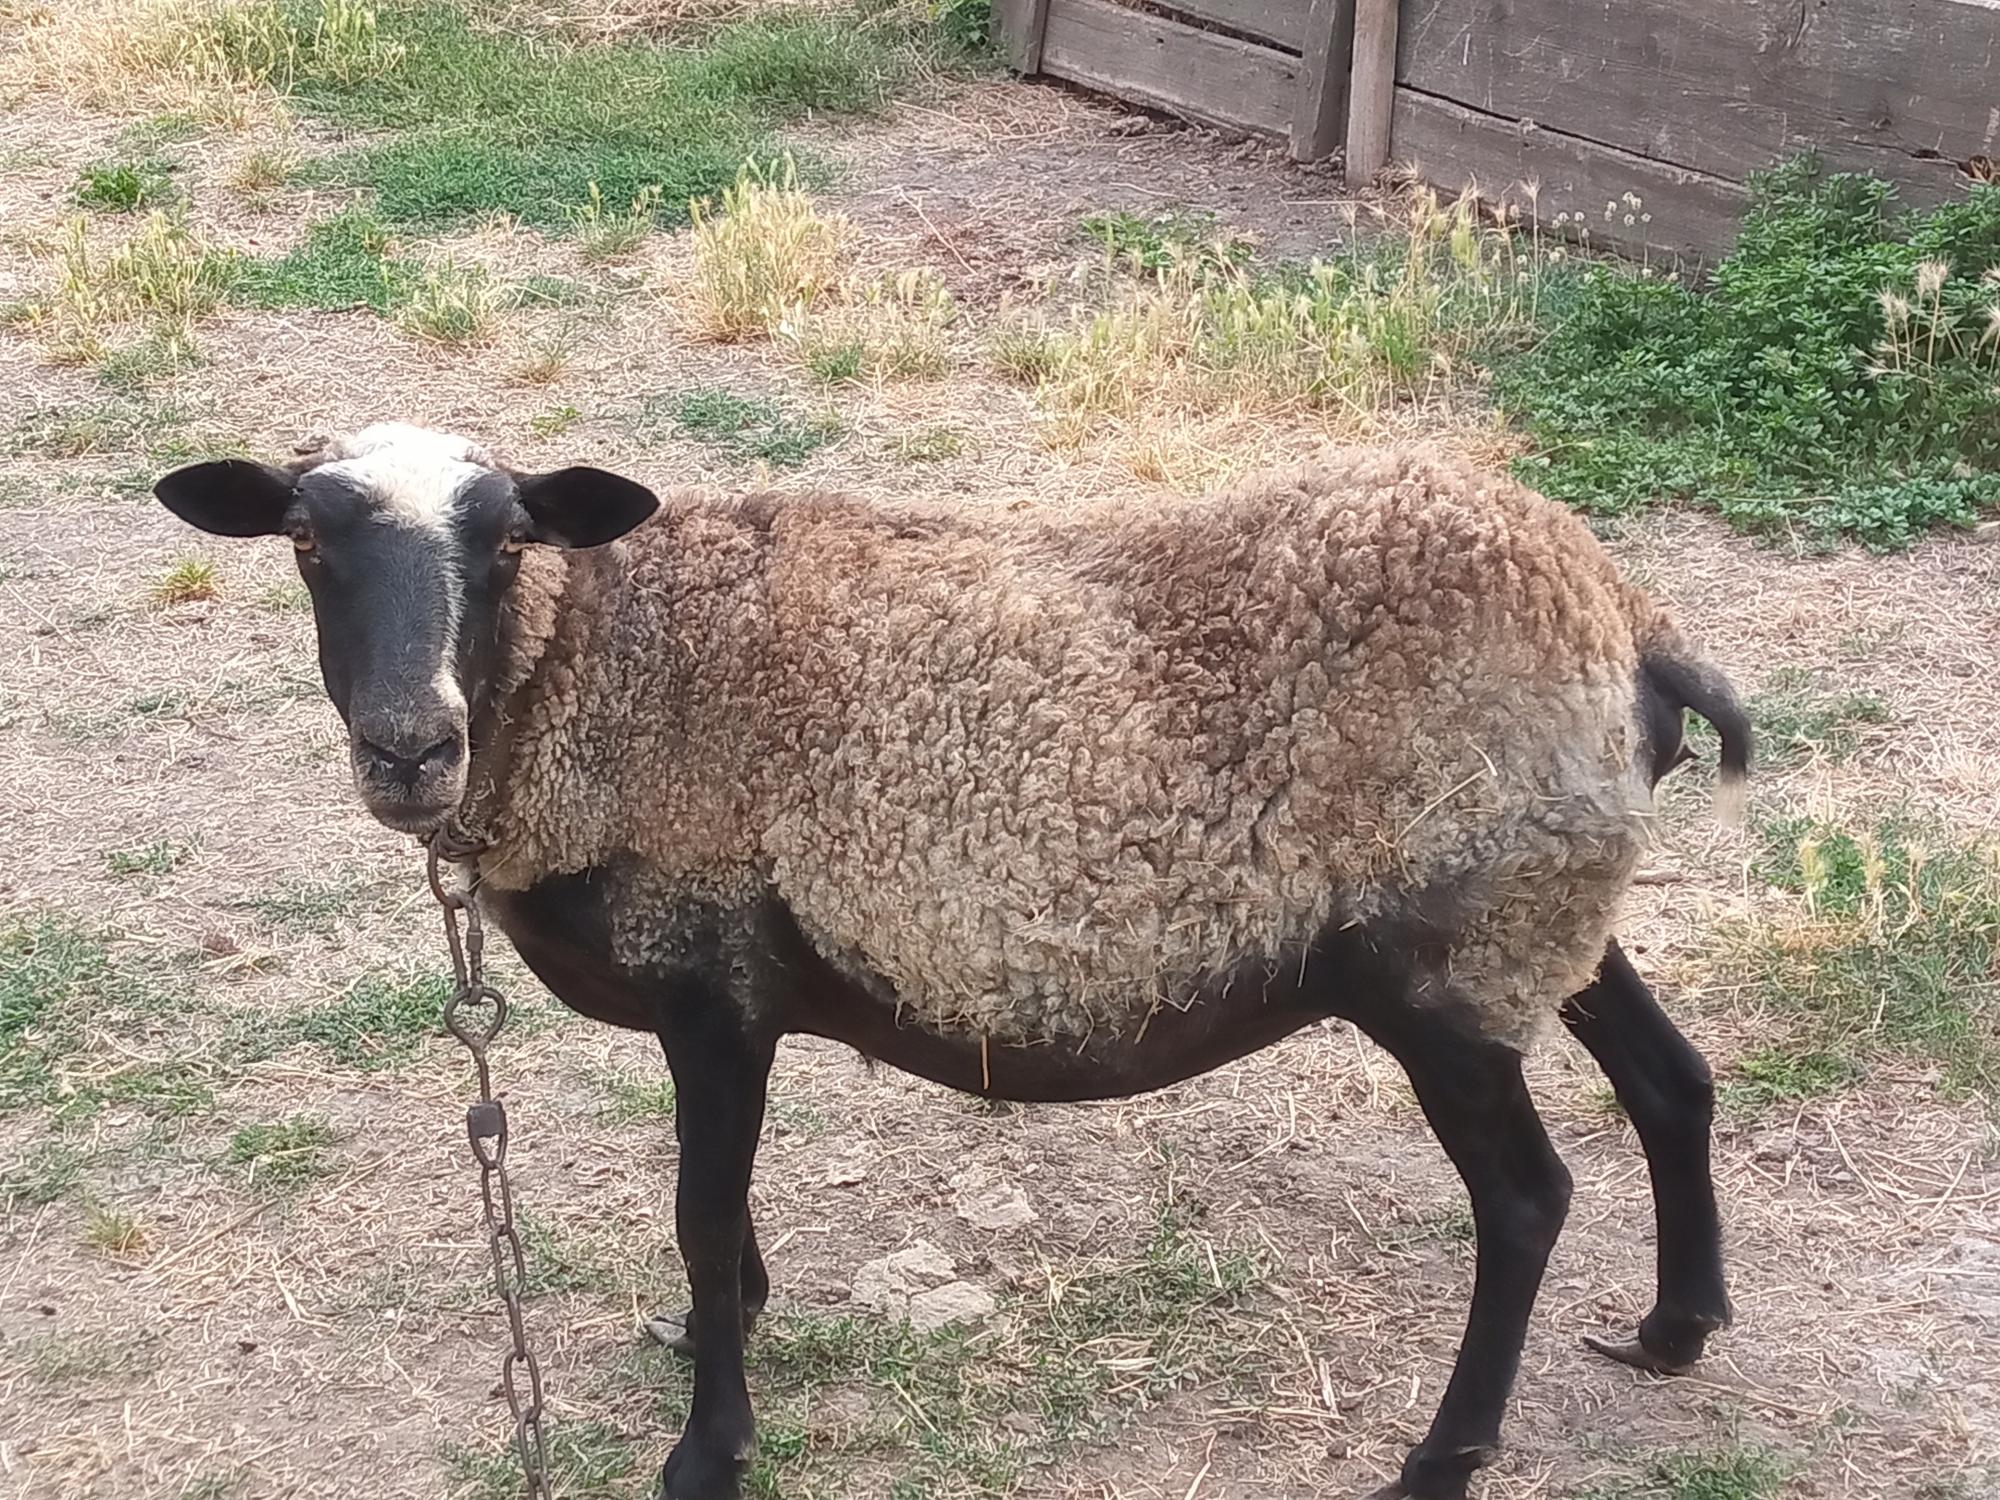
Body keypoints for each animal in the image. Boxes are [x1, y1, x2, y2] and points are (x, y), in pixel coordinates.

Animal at [156, 426, 1752, 1500]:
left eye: (504, 544)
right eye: (305, 543)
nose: (409, 750)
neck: (612, 670)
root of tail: (1630, 625)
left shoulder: (712, 981)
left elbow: (696, 1209)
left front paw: (708, 1448)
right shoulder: (722, 1001)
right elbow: (717, 1219)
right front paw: (717, 1330)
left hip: (1447, 963)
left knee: (1528, 1199)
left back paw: (1441, 1456)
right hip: (1539, 917)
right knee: (1673, 1081)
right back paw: (1675, 1330)